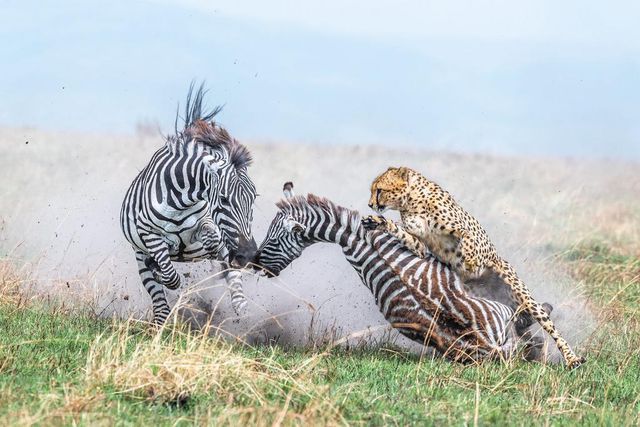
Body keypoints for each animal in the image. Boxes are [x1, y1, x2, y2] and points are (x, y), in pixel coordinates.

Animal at [120, 85, 257, 325]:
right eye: (223, 199)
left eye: (254, 198)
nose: (248, 254)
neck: (180, 199)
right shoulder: (149, 234)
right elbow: (170, 275)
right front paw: (160, 268)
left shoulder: (207, 222)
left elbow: (212, 239)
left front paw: (214, 254)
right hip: (139, 256)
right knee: (159, 302)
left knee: (237, 294)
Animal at [255, 183, 549, 363]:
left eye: (273, 239)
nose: (255, 265)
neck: (359, 240)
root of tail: (481, 342)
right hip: (498, 322)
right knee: (523, 332)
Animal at [362, 166, 586, 369]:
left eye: (379, 190)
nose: (371, 204)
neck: (412, 201)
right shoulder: (420, 245)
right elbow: (401, 232)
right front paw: (377, 222)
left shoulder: (470, 234)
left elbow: (467, 243)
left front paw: (468, 262)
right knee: (520, 332)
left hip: (523, 297)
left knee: (549, 327)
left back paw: (571, 359)